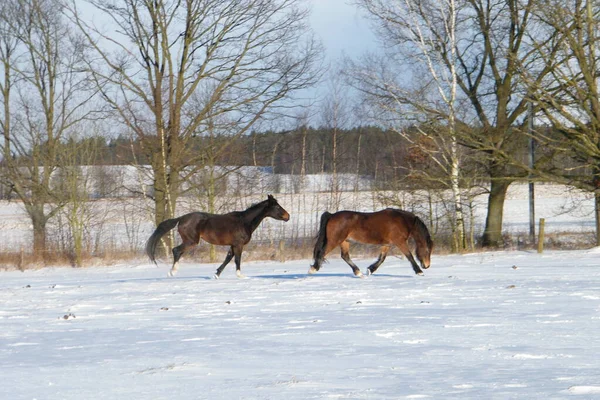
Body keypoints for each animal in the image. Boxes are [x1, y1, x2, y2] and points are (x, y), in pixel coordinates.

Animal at [146, 195, 290, 278]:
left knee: (178, 251)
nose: (288, 216)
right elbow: (237, 259)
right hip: (191, 241)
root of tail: (181, 219)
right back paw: (172, 271)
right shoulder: (238, 244)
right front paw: (240, 275)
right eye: (277, 206)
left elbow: (228, 258)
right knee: (176, 250)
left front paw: (217, 274)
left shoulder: (232, 245)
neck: (244, 221)